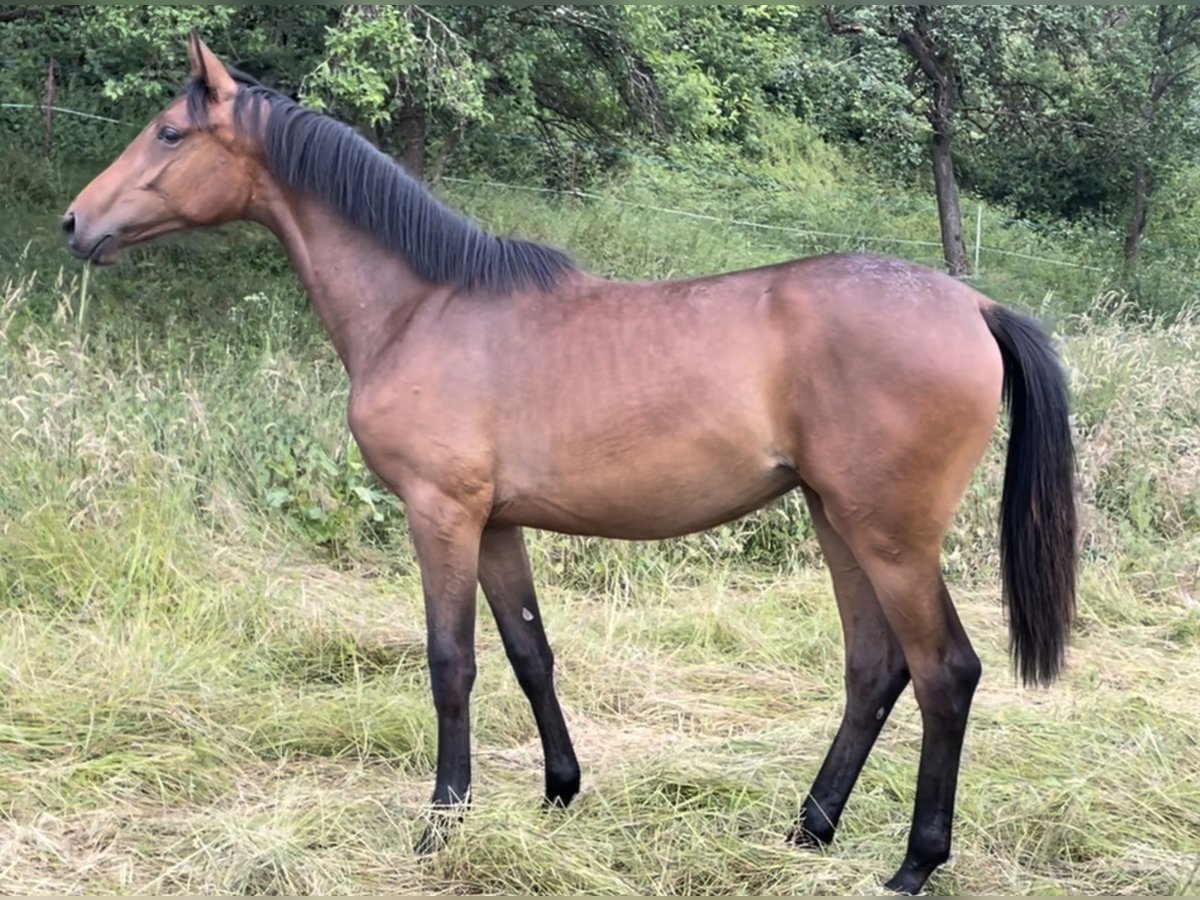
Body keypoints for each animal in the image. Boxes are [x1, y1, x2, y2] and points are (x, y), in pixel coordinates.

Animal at [63, 35, 1080, 897]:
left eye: (168, 131)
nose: (77, 222)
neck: (423, 306)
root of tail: (974, 304)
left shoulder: (441, 515)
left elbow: (452, 663)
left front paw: (441, 825)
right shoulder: (498, 524)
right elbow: (529, 654)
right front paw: (558, 790)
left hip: (891, 536)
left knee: (944, 672)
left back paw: (913, 863)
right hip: (837, 520)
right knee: (874, 669)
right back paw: (807, 830)